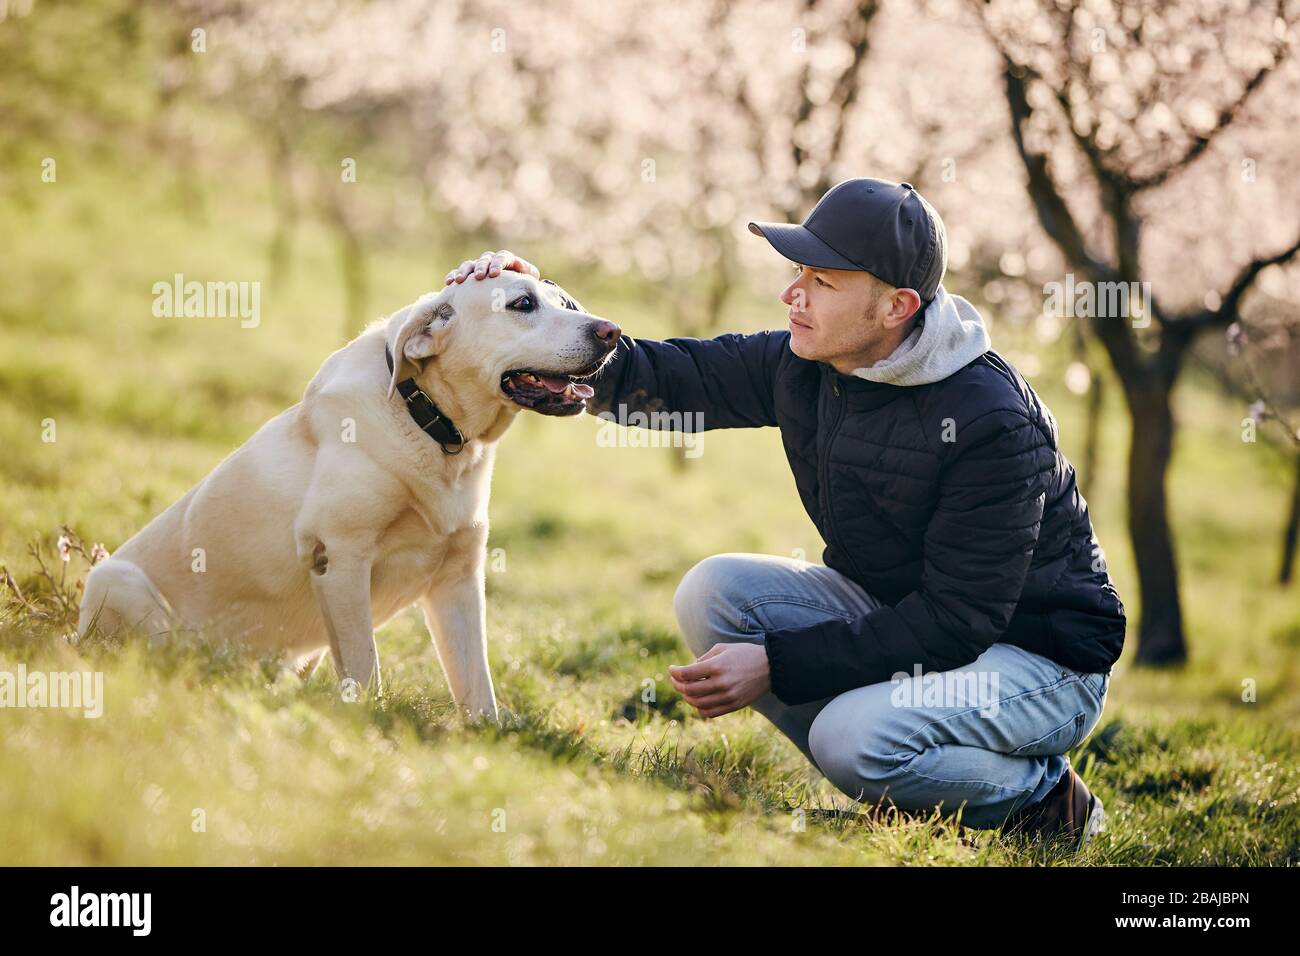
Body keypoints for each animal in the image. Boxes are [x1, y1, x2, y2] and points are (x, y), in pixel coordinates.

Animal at [78, 270, 621, 717]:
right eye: (522, 304)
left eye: (564, 302)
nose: (611, 331)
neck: (430, 424)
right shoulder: (339, 555)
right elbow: (364, 663)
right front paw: (366, 720)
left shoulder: (460, 579)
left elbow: (476, 685)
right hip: (115, 580)